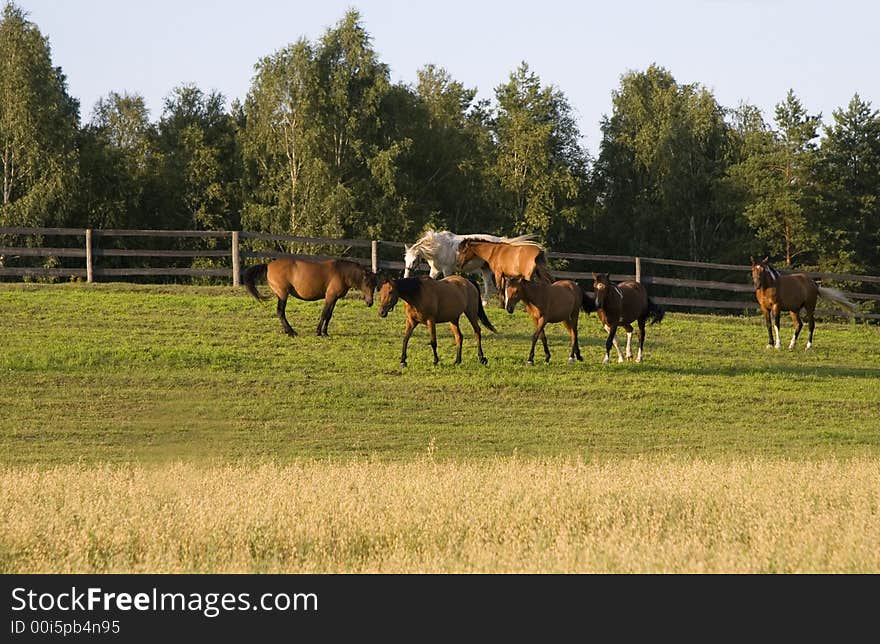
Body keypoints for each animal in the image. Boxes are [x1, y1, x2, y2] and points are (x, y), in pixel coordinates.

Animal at [242, 256, 376, 338]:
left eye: (375, 285)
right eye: (367, 284)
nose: (370, 303)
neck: (341, 272)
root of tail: (268, 265)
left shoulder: (334, 298)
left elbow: (329, 315)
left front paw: (325, 332)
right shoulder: (330, 296)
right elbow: (324, 314)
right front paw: (318, 332)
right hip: (283, 294)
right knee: (280, 312)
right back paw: (291, 332)